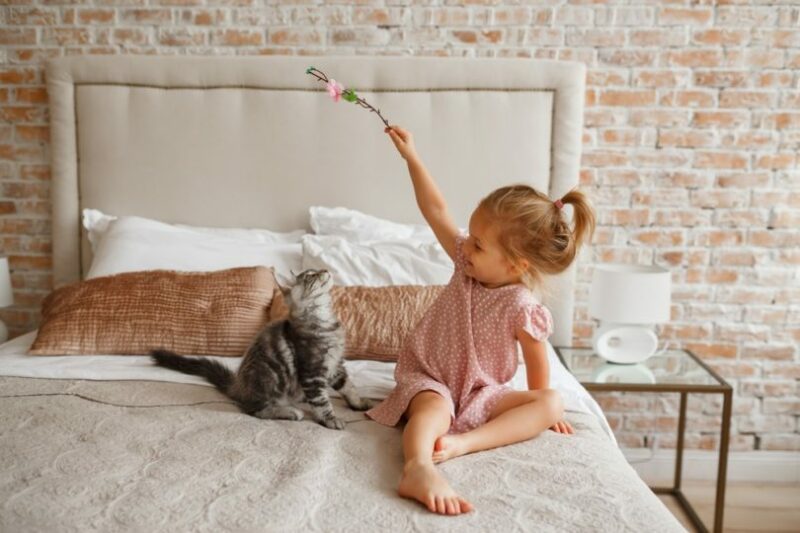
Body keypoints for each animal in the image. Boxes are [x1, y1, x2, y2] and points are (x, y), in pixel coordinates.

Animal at [152, 270, 374, 428]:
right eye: (310, 275)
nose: (325, 269)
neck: (324, 320)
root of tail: (238, 386)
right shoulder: (313, 371)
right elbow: (322, 401)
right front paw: (331, 419)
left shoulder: (335, 366)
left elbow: (349, 387)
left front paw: (359, 403)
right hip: (268, 377)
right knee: (255, 411)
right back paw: (290, 411)